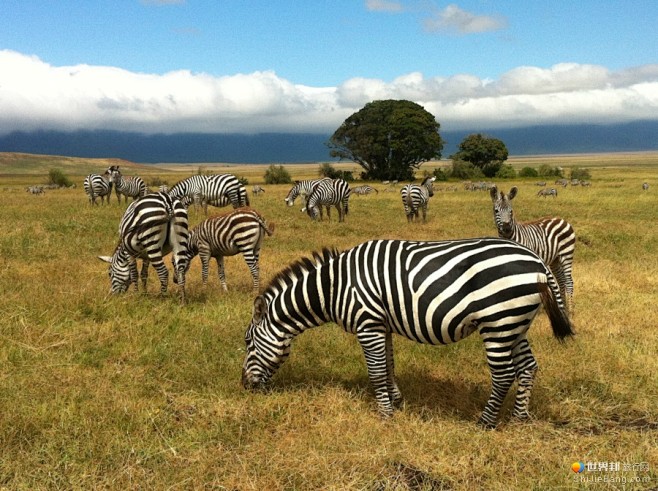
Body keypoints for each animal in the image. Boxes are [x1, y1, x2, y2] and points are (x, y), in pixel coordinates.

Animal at [243, 240, 572, 428]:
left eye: (247, 343)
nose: (245, 387)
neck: (334, 287)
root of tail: (537, 260)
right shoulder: (382, 324)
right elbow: (388, 366)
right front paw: (397, 403)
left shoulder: (368, 324)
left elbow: (376, 372)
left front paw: (384, 415)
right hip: (514, 324)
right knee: (528, 367)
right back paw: (519, 419)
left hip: (498, 322)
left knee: (503, 375)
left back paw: (485, 422)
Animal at [486, 186, 576, 318]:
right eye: (496, 211)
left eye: (511, 211)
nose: (507, 228)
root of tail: (561, 219)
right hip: (555, 259)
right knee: (561, 281)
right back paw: (563, 308)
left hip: (566, 254)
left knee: (569, 281)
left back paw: (570, 311)